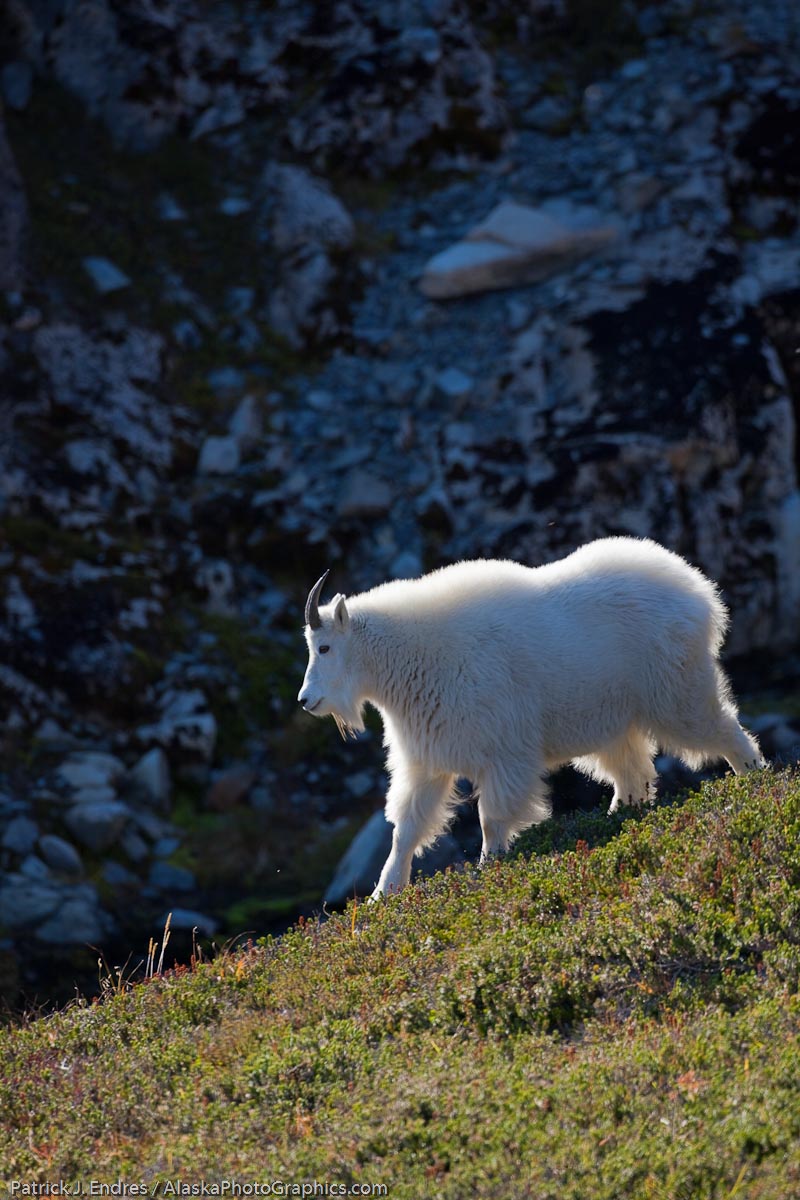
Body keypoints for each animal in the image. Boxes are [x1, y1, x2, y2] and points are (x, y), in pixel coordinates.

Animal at [297, 540, 767, 897]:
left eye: (323, 647)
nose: (306, 700)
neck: (414, 657)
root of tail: (699, 593)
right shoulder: (427, 758)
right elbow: (406, 828)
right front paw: (383, 894)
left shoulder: (505, 752)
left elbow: (492, 819)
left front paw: (488, 867)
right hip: (614, 720)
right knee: (632, 773)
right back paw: (615, 819)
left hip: (676, 693)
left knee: (724, 730)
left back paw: (756, 781)